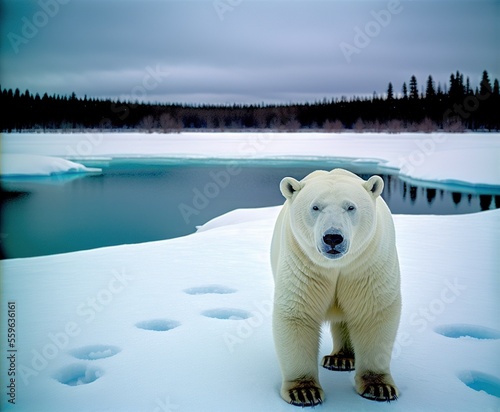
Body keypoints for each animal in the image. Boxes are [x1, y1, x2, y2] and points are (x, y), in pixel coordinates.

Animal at [272, 167, 400, 406]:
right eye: (315, 207)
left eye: (350, 207)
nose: (333, 237)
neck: (337, 265)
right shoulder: (303, 263)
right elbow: (298, 313)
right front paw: (303, 391)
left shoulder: (366, 266)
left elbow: (373, 312)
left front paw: (379, 387)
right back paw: (338, 358)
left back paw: (341, 358)